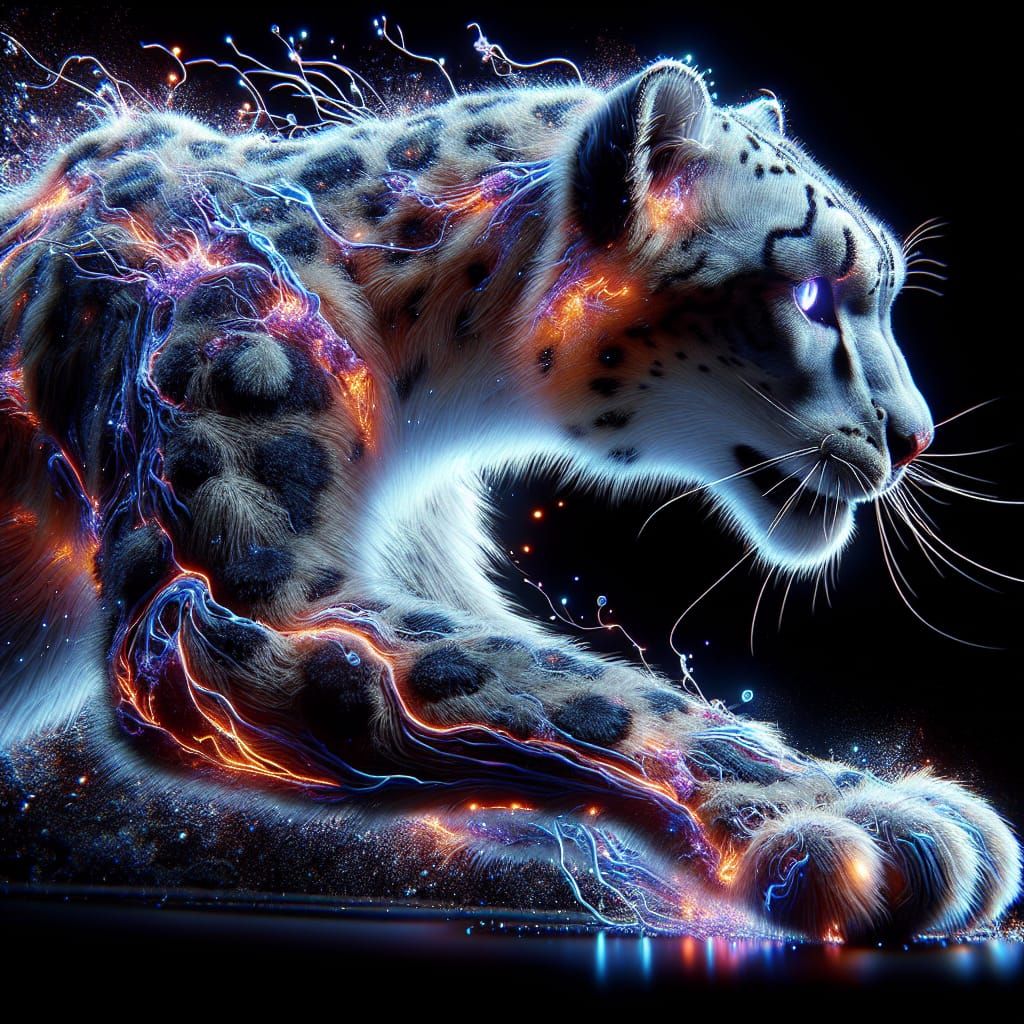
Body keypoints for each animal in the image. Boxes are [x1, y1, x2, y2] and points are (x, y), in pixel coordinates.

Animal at [0, 55, 1019, 941]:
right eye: (810, 294)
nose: (917, 435)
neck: (428, 406)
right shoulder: (245, 581)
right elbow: (559, 682)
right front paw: (867, 817)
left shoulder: (414, 561)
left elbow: (521, 684)